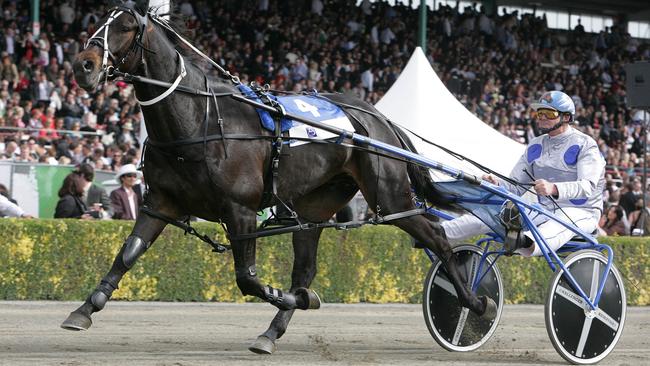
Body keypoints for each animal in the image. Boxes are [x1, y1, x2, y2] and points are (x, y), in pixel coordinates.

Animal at [62, 0, 496, 354]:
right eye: (99, 21)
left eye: (126, 27)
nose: (83, 65)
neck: (198, 120)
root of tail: (378, 117)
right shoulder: (161, 202)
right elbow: (127, 253)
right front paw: (84, 310)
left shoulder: (241, 211)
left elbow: (248, 280)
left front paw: (294, 297)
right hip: (315, 206)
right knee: (305, 269)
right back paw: (271, 332)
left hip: (390, 198)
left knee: (437, 236)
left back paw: (476, 304)